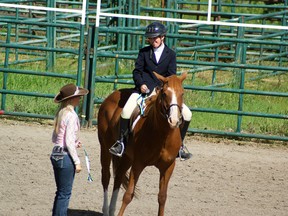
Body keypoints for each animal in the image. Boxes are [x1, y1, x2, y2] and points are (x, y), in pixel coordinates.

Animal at [98, 72, 188, 216]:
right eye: (164, 94)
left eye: (182, 93)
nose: (174, 121)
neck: (162, 135)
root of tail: (112, 95)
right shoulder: (138, 164)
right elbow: (128, 195)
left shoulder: (168, 167)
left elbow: (162, 197)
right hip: (105, 147)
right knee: (106, 176)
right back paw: (106, 210)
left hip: (127, 157)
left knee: (119, 176)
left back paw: (111, 210)